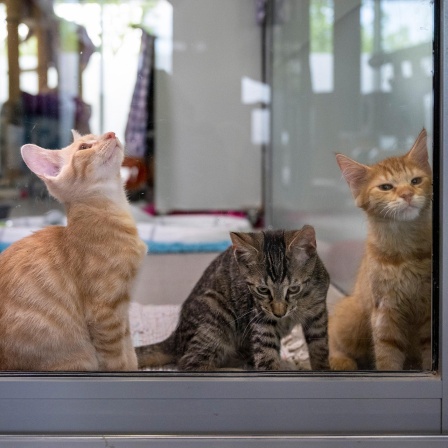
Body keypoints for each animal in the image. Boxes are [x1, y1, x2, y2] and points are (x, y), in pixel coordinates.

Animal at [0, 130, 147, 372]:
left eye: (98, 135)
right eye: (85, 147)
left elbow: (130, 352)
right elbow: (116, 361)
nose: (111, 133)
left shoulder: (123, 310)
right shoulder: (105, 313)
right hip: (78, 358)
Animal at [136, 228, 328, 372]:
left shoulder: (318, 313)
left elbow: (320, 347)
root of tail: (175, 338)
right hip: (216, 313)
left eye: (294, 289)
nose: (279, 313)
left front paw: (322, 369)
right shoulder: (260, 316)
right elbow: (266, 352)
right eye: (263, 290)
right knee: (191, 363)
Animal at [330, 129, 432, 372]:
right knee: (330, 334)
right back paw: (340, 360)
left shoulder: (428, 312)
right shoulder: (385, 311)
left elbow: (428, 350)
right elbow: (388, 354)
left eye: (415, 181)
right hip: (352, 318)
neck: (404, 253)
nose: (407, 194)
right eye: (386, 187)